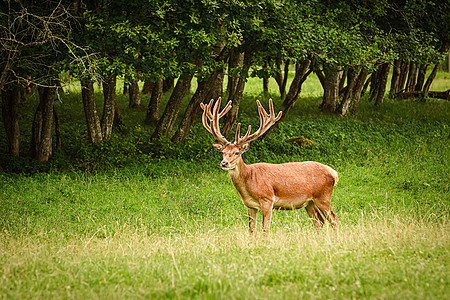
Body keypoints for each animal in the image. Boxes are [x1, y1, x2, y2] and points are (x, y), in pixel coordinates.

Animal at [200, 98, 338, 234]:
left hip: (323, 197)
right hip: (309, 202)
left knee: (333, 219)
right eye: (223, 152)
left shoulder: (267, 199)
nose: (224, 163)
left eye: (237, 152)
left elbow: (265, 228)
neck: (249, 178)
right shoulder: (250, 205)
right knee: (319, 221)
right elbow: (251, 229)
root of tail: (334, 174)